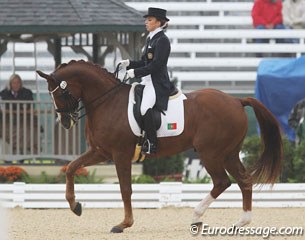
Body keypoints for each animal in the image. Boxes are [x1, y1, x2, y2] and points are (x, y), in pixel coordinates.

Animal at [36, 60, 282, 232]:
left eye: (61, 92)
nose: (65, 122)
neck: (107, 102)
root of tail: (237, 100)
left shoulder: (120, 154)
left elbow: (125, 189)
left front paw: (124, 223)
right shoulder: (100, 152)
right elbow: (71, 168)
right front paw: (75, 206)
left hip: (211, 153)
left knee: (222, 182)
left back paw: (196, 217)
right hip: (229, 153)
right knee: (244, 180)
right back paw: (241, 222)